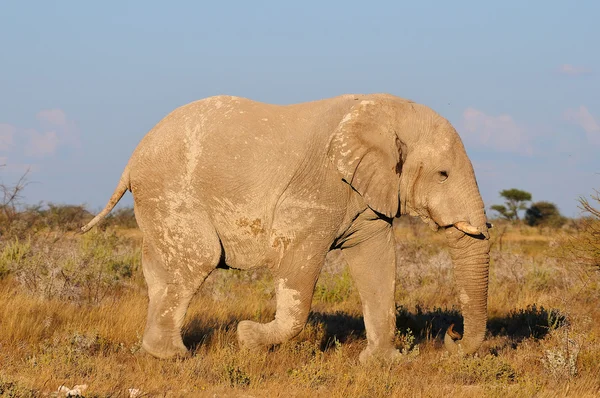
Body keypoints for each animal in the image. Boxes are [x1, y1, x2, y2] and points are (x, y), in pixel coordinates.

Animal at [82, 95, 490, 362]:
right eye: (443, 174)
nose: (452, 336)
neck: (382, 110)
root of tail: (133, 158)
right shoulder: (318, 189)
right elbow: (297, 265)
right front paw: (247, 337)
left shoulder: (366, 196)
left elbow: (378, 265)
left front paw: (383, 364)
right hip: (169, 189)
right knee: (197, 258)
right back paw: (174, 357)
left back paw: (159, 352)